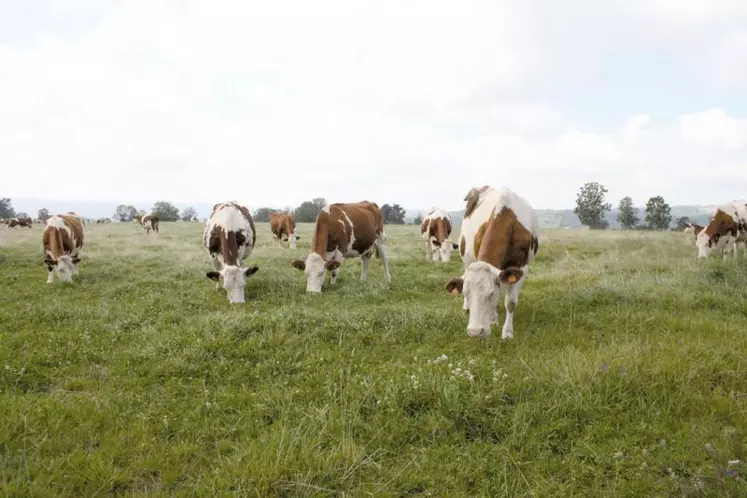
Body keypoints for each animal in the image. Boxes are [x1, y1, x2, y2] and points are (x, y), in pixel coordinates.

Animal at [448, 185, 540, 340]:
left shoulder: (522, 267)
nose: (475, 331)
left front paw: (507, 333)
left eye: (490, 294)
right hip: (467, 258)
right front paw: (493, 320)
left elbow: (510, 302)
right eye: (466, 293)